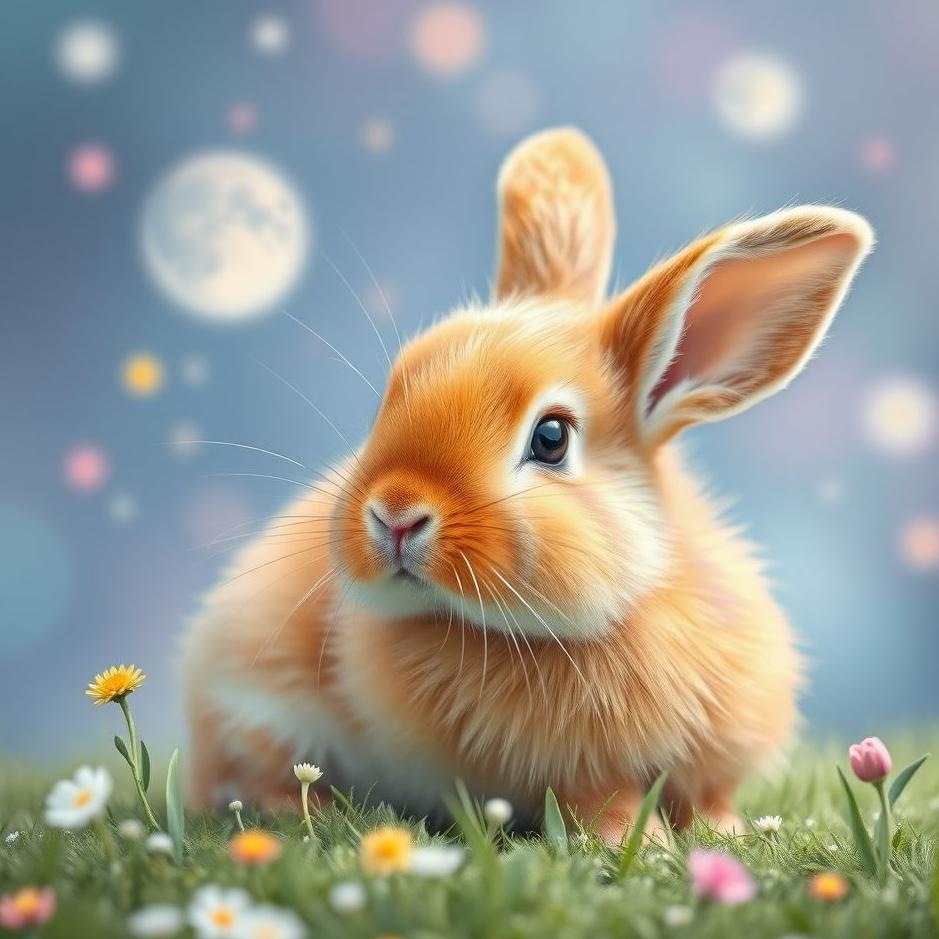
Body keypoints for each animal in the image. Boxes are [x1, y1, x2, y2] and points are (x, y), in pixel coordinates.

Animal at [181, 127, 873, 843]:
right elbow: (606, 801)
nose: (395, 513)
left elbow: (708, 799)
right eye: (389, 397)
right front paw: (636, 841)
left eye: (551, 438)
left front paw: (726, 835)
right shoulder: (582, 774)